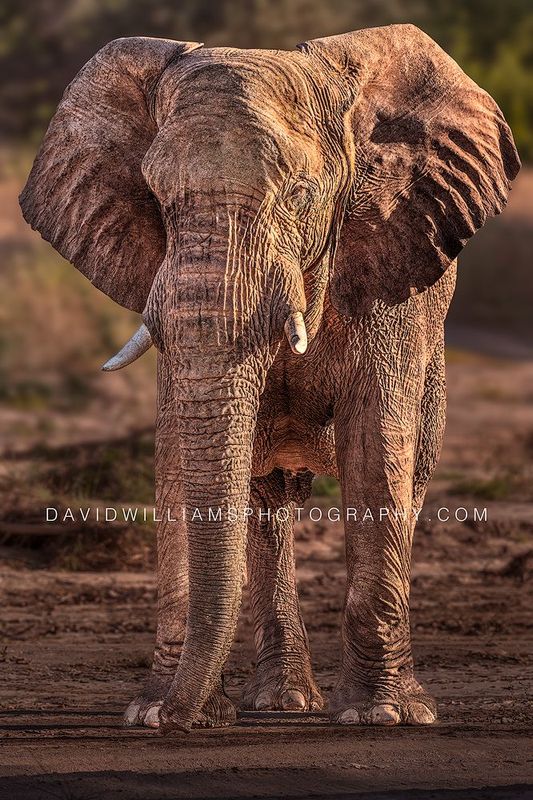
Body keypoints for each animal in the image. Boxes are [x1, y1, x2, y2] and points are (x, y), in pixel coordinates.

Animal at [20, 24, 520, 734]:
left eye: (302, 197)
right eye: (158, 201)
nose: (183, 721)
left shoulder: (387, 268)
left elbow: (376, 445)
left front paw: (378, 716)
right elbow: (175, 452)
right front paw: (154, 712)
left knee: (409, 472)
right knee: (269, 497)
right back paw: (282, 702)